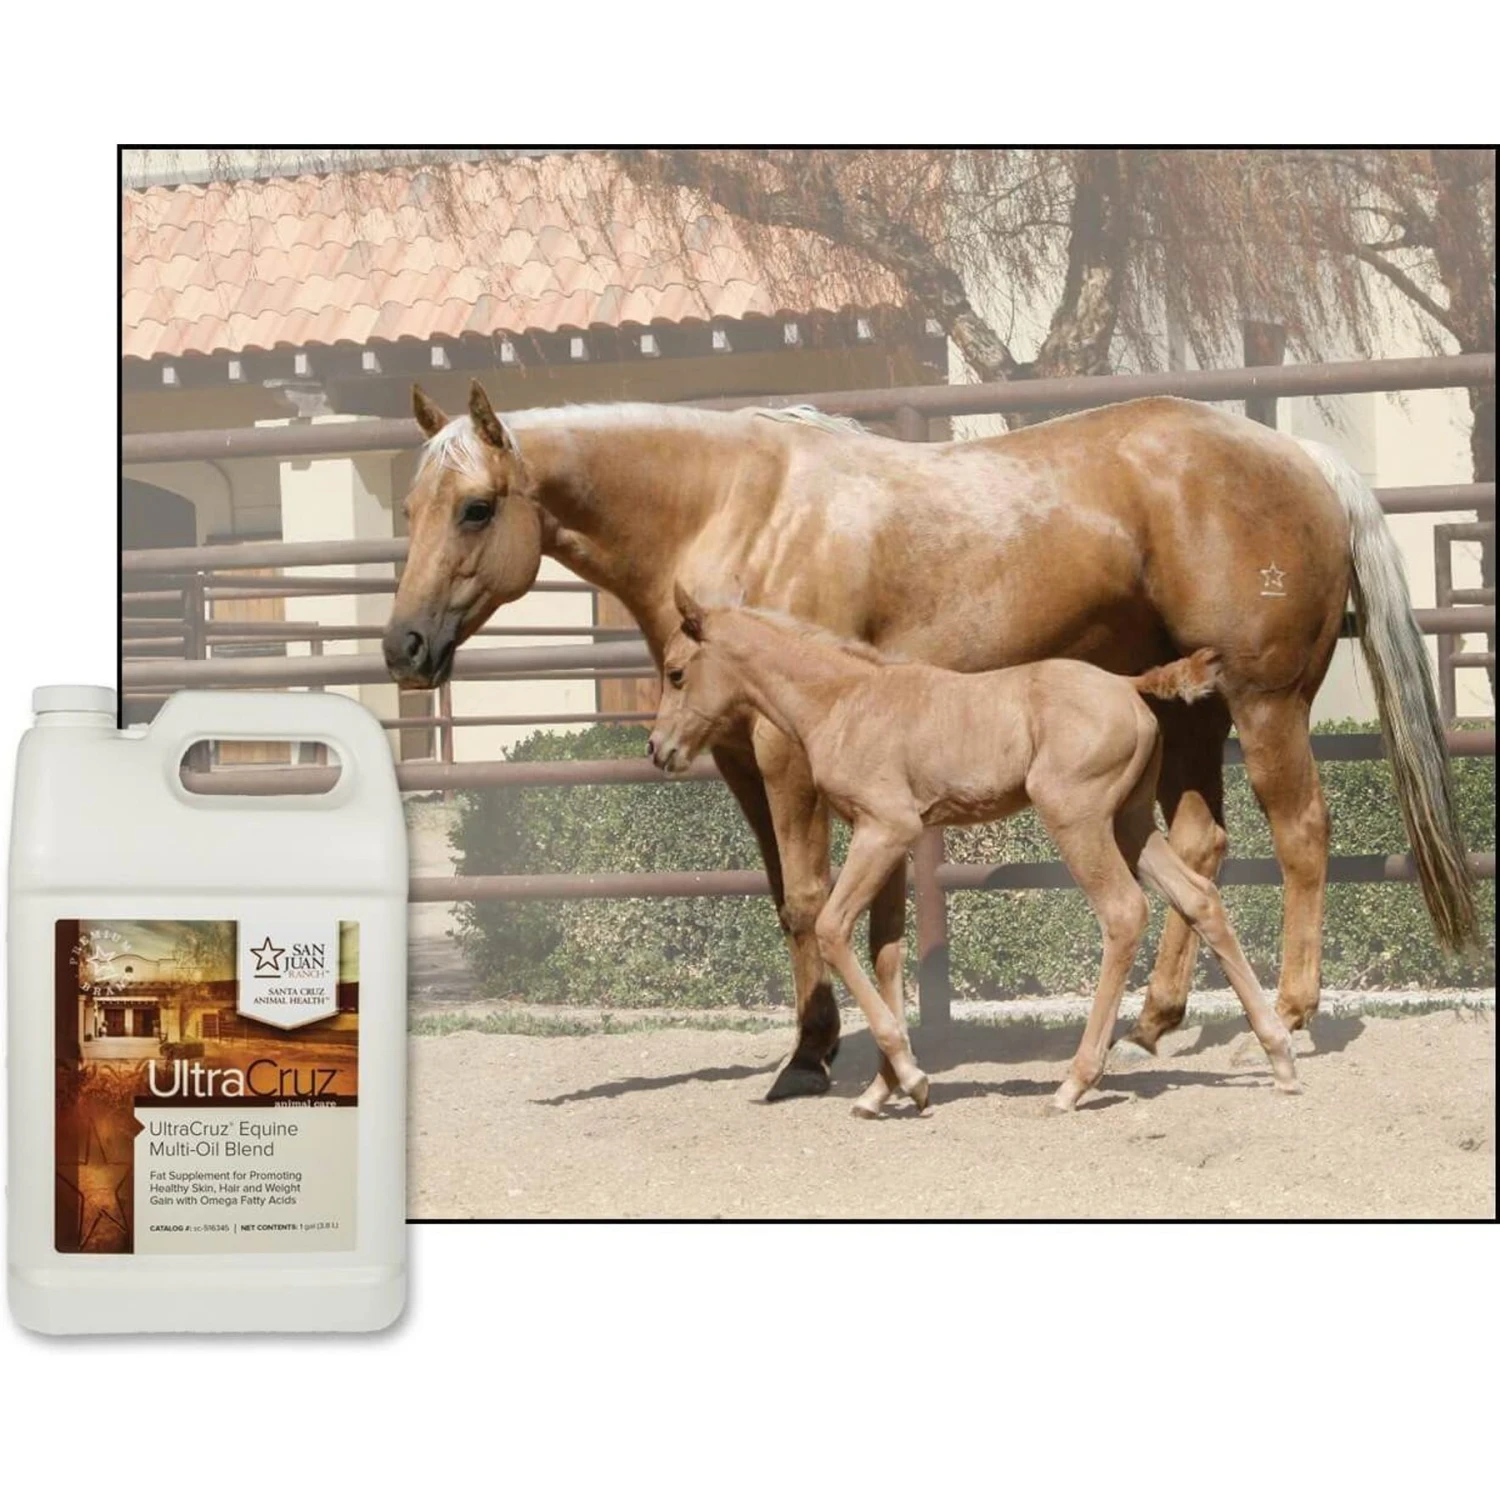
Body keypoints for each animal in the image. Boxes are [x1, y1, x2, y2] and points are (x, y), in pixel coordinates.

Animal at [647, 590, 1301, 1114]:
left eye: (676, 673)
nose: (658, 749)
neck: (844, 700)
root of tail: (1126, 684)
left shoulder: (884, 829)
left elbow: (833, 929)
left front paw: (912, 1079)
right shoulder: (890, 839)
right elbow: (886, 952)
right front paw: (883, 1089)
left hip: (1079, 819)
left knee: (1123, 912)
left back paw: (1075, 1082)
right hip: (1130, 822)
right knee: (1200, 897)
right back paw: (1279, 1058)